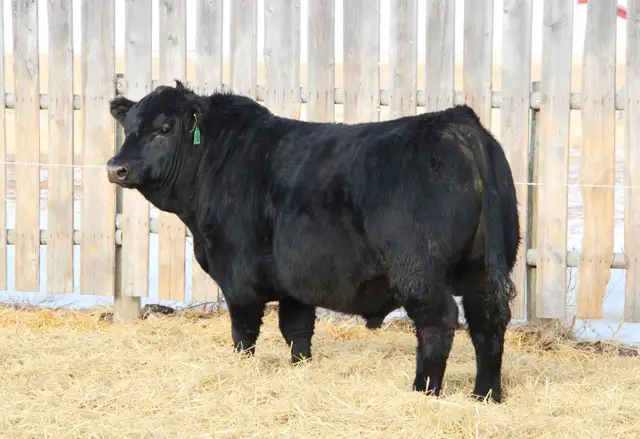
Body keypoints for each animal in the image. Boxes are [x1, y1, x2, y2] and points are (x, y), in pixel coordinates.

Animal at [105, 80, 520, 403]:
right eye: (129, 127)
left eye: (164, 128)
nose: (115, 168)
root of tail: (458, 123)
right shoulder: (295, 281)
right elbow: (297, 330)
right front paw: (299, 367)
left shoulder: (237, 276)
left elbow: (244, 332)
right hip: (483, 270)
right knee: (488, 322)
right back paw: (485, 395)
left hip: (420, 273)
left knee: (440, 322)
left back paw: (423, 390)